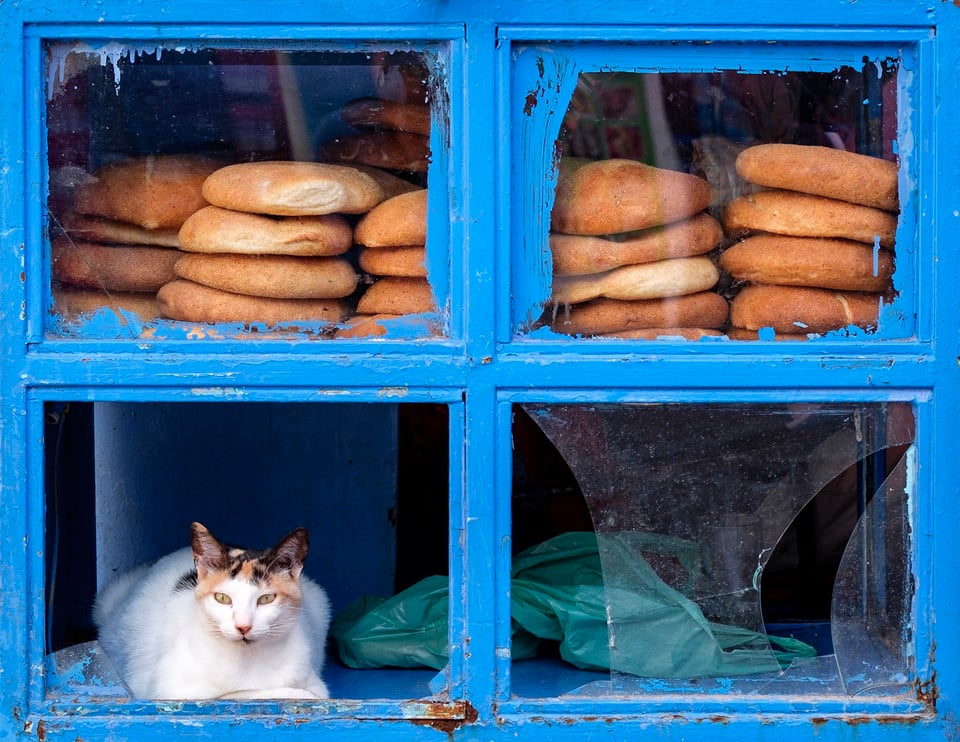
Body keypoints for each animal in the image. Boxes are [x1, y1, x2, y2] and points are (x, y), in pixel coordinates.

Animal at [94, 520, 332, 700]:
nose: (243, 626)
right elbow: (235, 695)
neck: (247, 660)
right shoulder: (169, 690)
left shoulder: (317, 684)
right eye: (222, 598)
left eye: (266, 599)